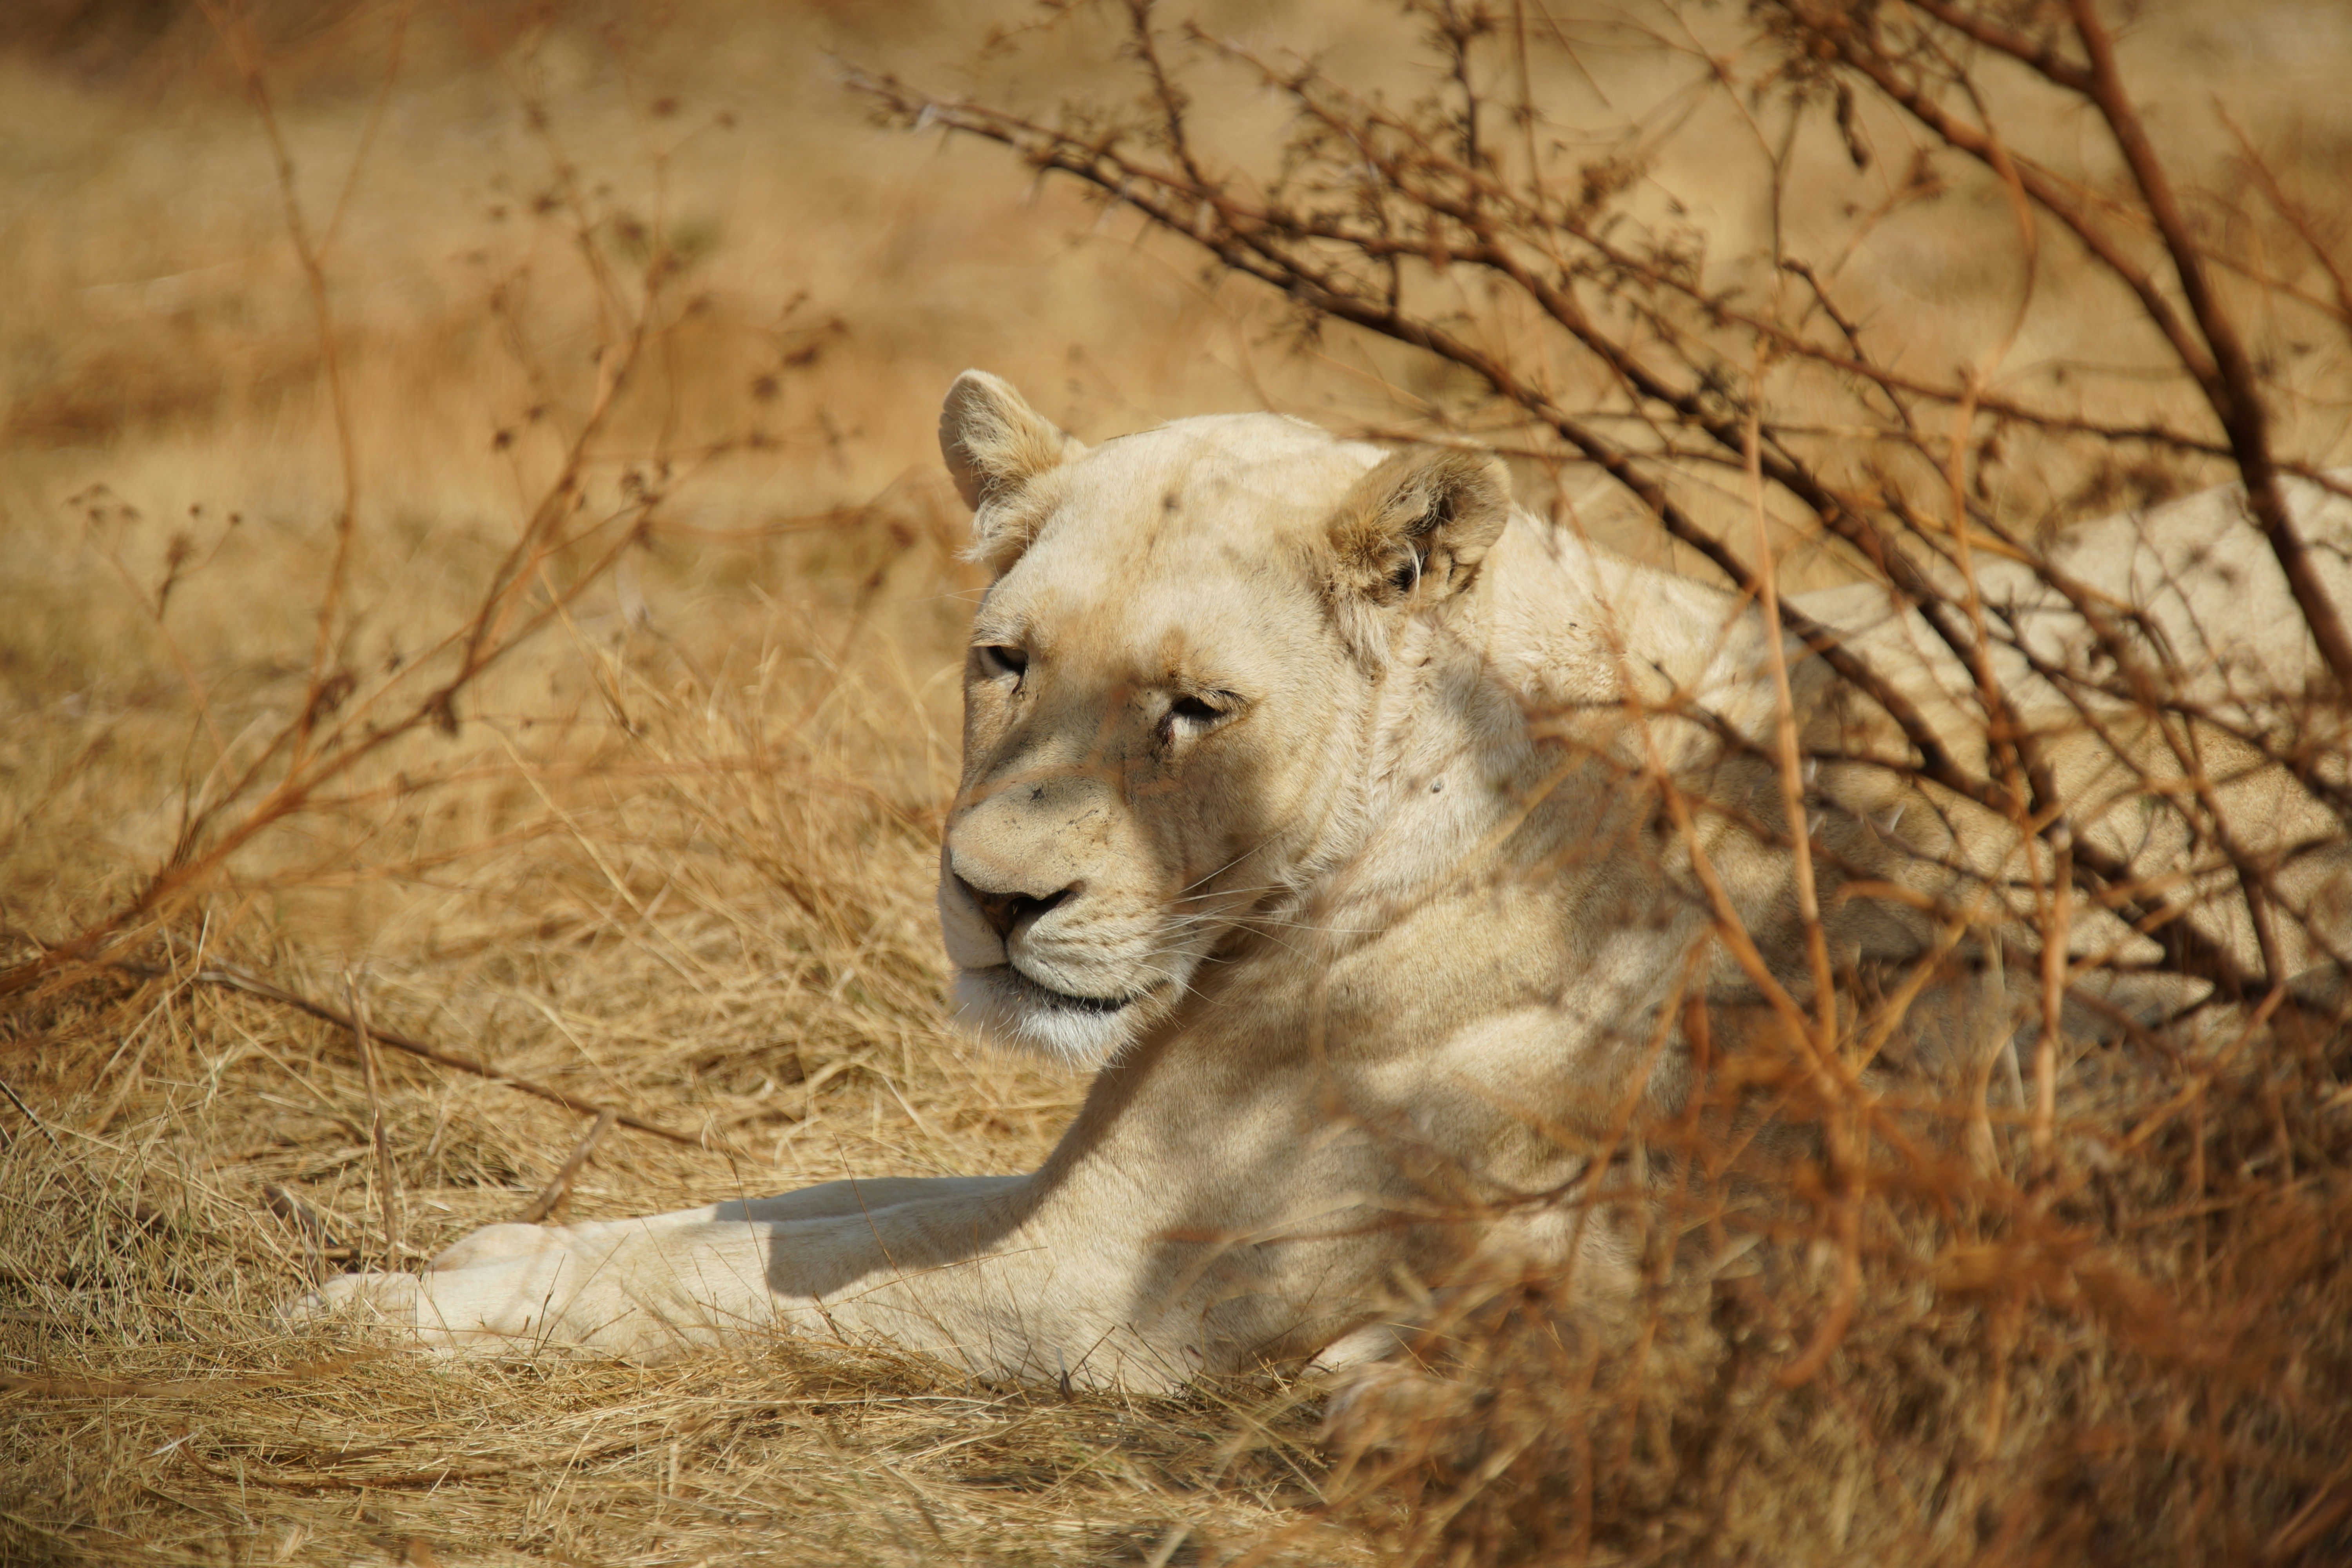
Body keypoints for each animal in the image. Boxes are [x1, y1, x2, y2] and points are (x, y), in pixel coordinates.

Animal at [304, 372, 2352, 1388]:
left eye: (1194, 708)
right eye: (1005, 661)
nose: (992, 902)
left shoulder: (1109, 1280)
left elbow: (735, 1276)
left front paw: (381, 1315)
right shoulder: (1074, 1176)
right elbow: (783, 1202)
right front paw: (480, 1249)